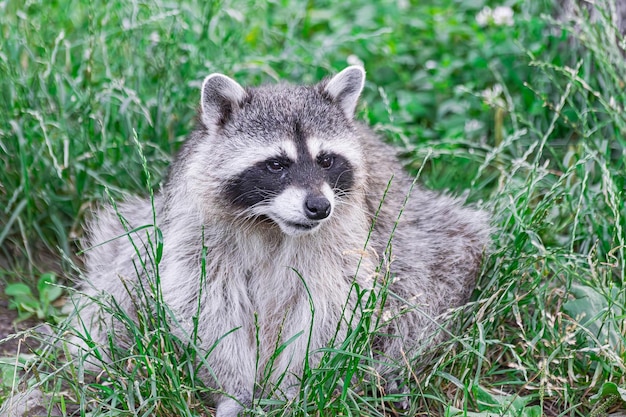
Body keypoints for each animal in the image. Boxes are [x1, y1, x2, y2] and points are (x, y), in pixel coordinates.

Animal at [75, 66, 490, 414]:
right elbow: (205, 299)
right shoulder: (196, 225)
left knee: (425, 281)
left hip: (415, 227)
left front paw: (293, 386)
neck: (272, 223)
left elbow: (330, 305)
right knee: (119, 281)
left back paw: (384, 368)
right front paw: (233, 389)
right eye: (276, 165)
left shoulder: (345, 232)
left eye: (326, 161)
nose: (319, 207)